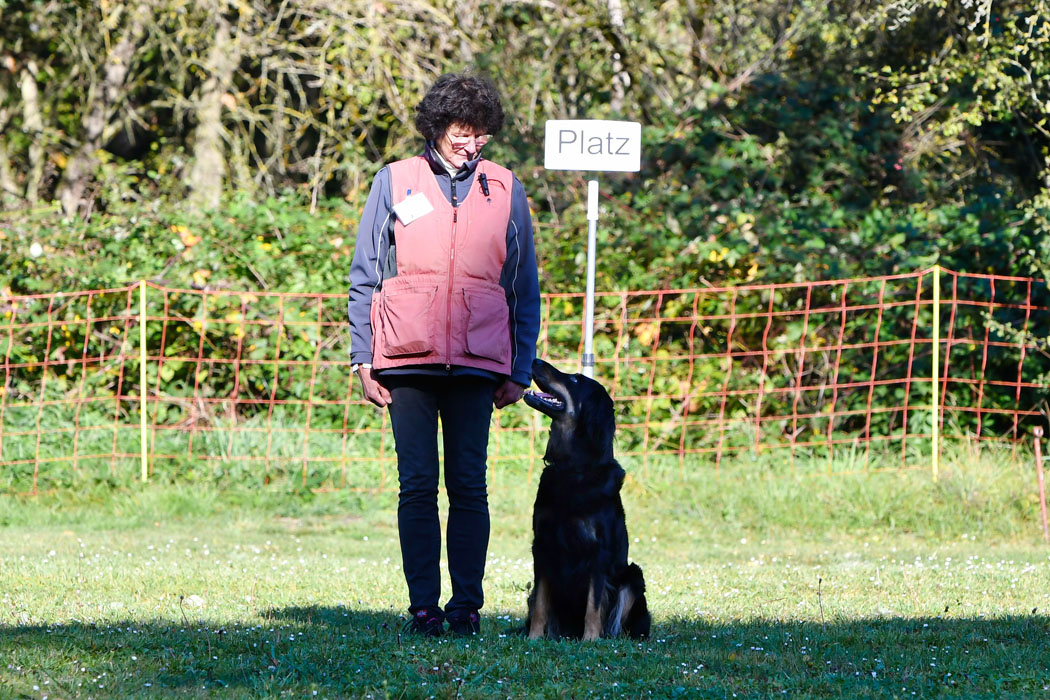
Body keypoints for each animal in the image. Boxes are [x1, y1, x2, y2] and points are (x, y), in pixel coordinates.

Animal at [522, 361, 646, 642]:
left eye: (577, 380)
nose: (534, 360)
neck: (573, 467)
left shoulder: (598, 552)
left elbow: (594, 604)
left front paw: (590, 639)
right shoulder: (542, 545)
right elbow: (541, 604)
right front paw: (534, 638)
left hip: (633, 576)